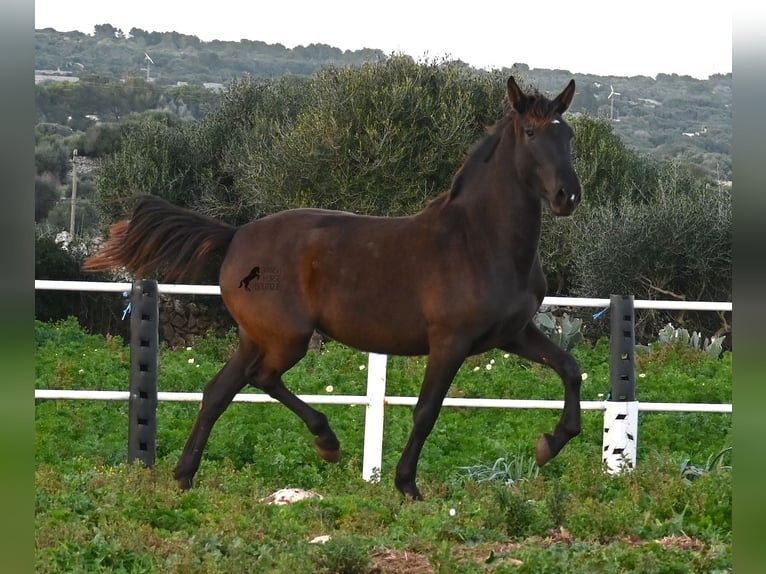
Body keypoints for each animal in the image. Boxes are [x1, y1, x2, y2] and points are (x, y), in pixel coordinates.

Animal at [84, 75, 584, 500]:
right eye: (532, 133)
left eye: (569, 136)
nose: (568, 196)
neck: (479, 241)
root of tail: (236, 235)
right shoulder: (449, 342)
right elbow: (426, 411)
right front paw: (407, 485)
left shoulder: (512, 334)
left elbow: (570, 369)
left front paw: (549, 444)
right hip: (286, 337)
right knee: (261, 379)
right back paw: (326, 441)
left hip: (256, 337)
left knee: (217, 392)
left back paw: (185, 476)